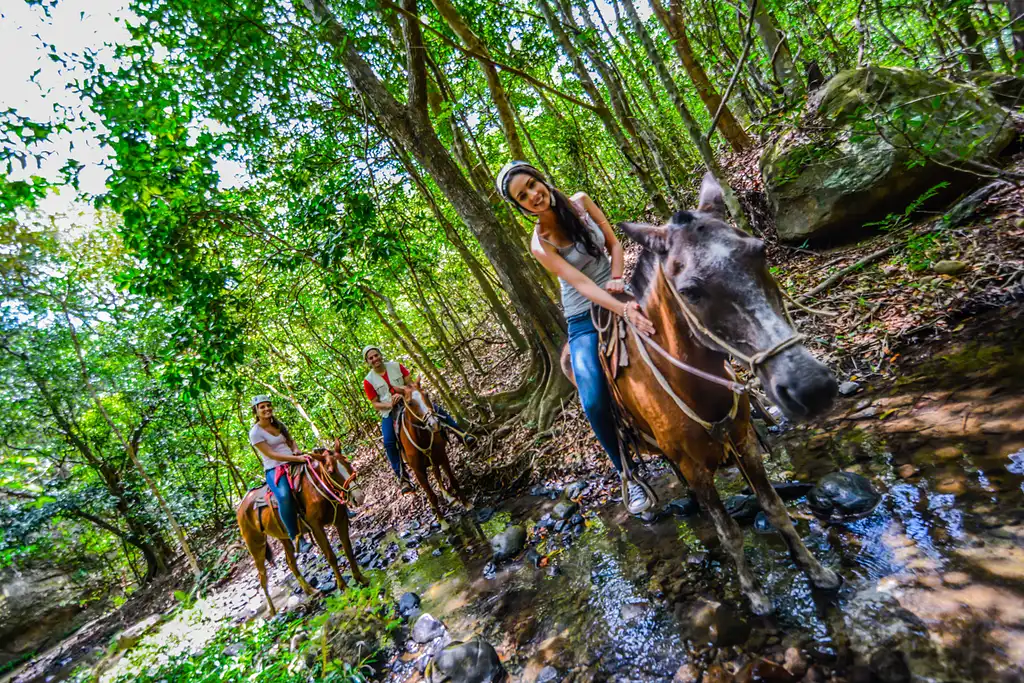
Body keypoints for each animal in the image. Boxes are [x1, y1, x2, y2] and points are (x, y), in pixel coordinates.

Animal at [237, 440, 366, 618]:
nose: (359, 496)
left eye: (347, 462)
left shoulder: (341, 520)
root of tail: (241, 506)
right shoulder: (316, 527)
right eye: (331, 471)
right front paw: (343, 587)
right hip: (255, 544)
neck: (318, 488)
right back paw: (272, 611)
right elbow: (331, 556)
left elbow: (348, 549)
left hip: (283, 536)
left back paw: (310, 590)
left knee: (290, 562)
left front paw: (360, 578)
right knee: (262, 576)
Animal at [391, 382, 471, 532]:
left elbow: (453, 480)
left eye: (426, 394)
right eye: (409, 403)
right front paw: (442, 522)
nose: (434, 423)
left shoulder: (443, 456)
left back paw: (448, 496)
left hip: (435, 459)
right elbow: (431, 496)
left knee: (437, 474)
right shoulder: (418, 471)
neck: (422, 436)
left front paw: (467, 504)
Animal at [561, 174, 839, 618]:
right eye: (690, 291)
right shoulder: (694, 465)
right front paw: (754, 593)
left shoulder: (744, 442)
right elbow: (728, 532)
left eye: (760, 251)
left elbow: (775, 508)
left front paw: (815, 570)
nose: (810, 387)